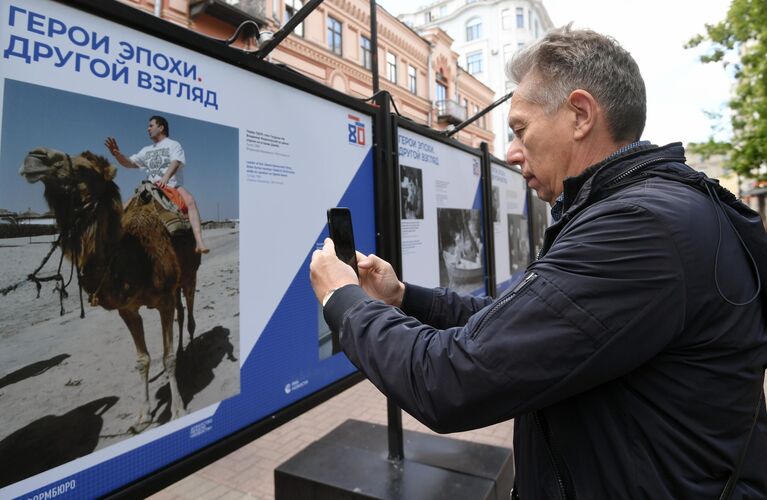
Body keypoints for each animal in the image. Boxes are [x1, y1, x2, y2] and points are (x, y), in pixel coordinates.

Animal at [20, 146, 201, 432]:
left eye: (85, 170)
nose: (34, 158)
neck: (135, 257)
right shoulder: (127, 309)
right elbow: (143, 359)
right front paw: (143, 415)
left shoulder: (163, 300)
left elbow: (167, 357)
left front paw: (178, 410)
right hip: (177, 284)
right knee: (182, 314)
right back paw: (185, 352)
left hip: (190, 274)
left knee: (191, 317)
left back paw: (192, 358)